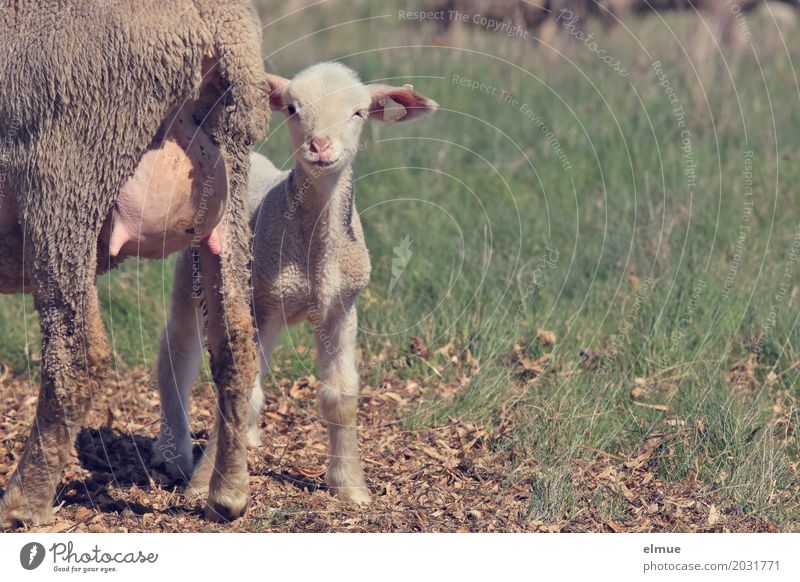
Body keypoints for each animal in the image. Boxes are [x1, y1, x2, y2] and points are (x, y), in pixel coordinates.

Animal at [0, 0, 268, 528]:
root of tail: (215, 20)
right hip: (227, 182)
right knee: (235, 339)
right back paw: (227, 494)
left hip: (64, 177)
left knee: (78, 354)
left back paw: (23, 504)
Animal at [155, 60, 438, 506]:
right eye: (291, 109)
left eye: (359, 113)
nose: (320, 146)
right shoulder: (263, 304)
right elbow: (239, 387)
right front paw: (206, 485)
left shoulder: (341, 308)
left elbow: (340, 396)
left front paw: (351, 487)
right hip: (197, 273)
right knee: (177, 351)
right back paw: (175, 453)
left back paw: (248, 439)